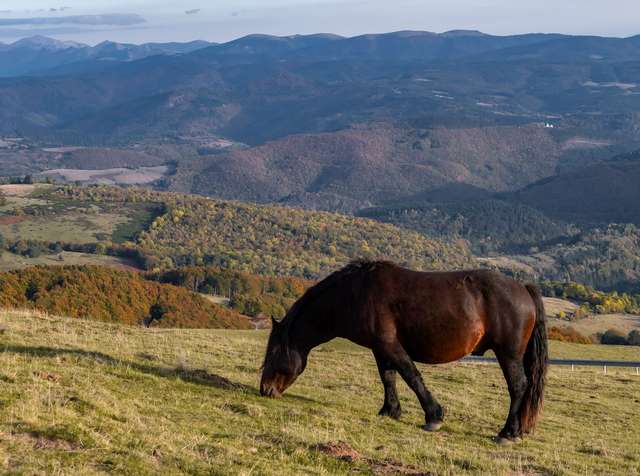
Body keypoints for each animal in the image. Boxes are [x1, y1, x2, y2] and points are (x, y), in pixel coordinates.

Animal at [260, 260, 548, 443]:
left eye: (273, 353)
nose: (265, 390)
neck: (356, 294)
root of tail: (523, 288)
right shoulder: (380, 349)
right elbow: (388, 378)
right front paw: (390, 411)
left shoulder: (391, 346)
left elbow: (412, 377)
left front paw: (433, 417)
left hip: (508, 355)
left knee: (518, 386)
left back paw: (508, 433)